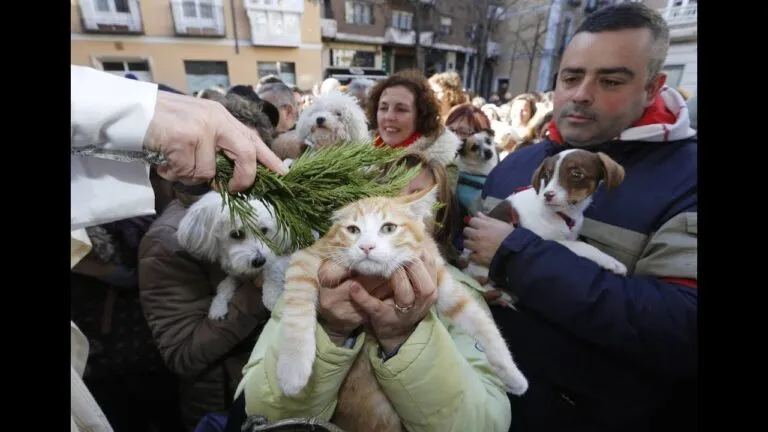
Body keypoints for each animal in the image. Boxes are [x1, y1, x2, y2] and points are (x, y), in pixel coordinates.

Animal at [274, 187, 528, 430]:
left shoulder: (435, 271)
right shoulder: (307, 258)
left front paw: (511, 374)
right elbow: (297, 311)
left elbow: (477, 317)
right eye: (353, 230)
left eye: (388, 228)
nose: (366, 246)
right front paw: (292, 369)